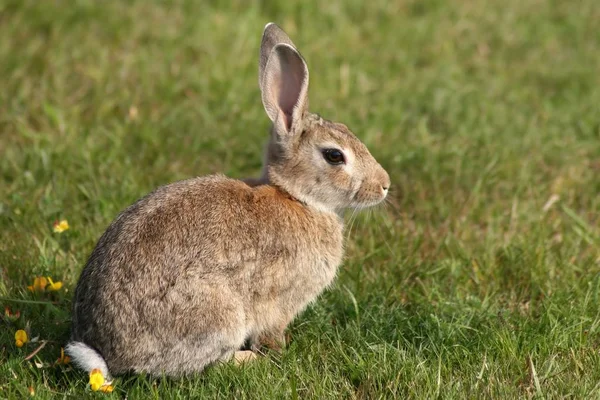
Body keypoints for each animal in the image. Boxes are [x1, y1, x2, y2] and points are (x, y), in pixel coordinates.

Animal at [67, 21, 390, 382]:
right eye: (334, 155)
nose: (384, 185)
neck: (297, 197)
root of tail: (110, 356)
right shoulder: (277, 303)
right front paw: (277, 351)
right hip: (218, 314)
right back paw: (247, 359)